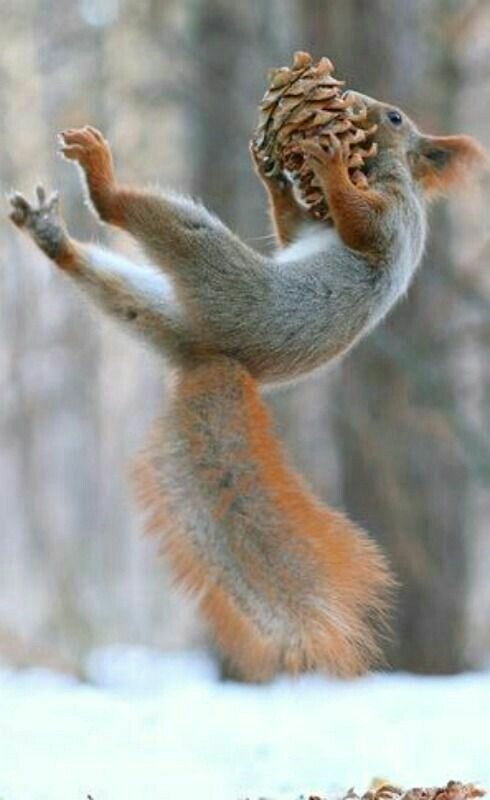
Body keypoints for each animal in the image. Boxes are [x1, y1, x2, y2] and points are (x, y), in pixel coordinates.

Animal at [9, 92, 486, 681]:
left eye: (395, 118)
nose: (355, 103)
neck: (382, 170)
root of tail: (213, 357)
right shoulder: (311, 229)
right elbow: (292, 230)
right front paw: (274, 176)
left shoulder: (393, 217)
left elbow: (360, 227)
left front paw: (328, 166)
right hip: (156, 309)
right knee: (113, 287)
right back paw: (52, 237)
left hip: (217, 271)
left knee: (135, 216)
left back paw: (102, 181)